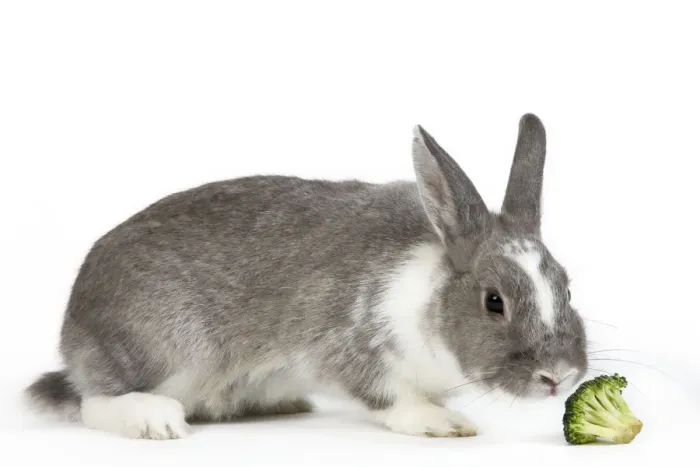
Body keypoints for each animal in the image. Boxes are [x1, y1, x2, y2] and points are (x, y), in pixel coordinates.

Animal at [24, 113, 588, 440]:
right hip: (164, 351)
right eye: (494, 301)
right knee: (93, 400)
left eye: (566, 286)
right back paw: (154, 420)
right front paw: (444, 423)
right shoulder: (351, 350)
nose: (557, 376)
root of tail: (74, 336)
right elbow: (390, 398)